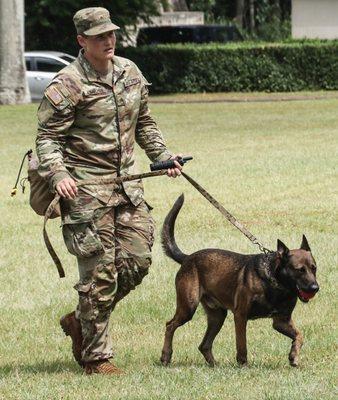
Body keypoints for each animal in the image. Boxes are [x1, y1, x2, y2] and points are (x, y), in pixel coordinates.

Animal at [160, 195, 318, 368]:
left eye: (314, 268)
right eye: (299, 270)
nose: (315, 287)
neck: (274, 283)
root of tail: (188, 258)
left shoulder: (281, 321)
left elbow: (299, 335)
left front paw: (294, 356)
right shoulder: (240, 316)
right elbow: (242, 345)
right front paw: (243, 365)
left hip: (217, 316)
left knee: (204, 345)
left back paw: (214, 365)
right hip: (188, 307)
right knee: (170, 326)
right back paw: (166, 356)